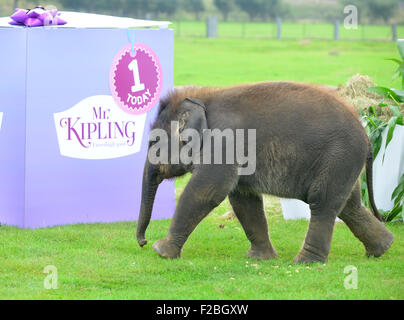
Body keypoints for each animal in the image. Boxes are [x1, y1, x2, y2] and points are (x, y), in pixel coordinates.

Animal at [137, 81, 394, 264]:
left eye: (152, 142)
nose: (142, 242)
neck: (204, 100)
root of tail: (366, 133)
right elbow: (243, 199)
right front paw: (260, 258)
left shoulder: (223, 144)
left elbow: (207, 191)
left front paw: (161, 251)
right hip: (344, 164)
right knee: (349, 206)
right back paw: (383, 248)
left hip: (339, 157)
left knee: (322, 203)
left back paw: (305, 262)